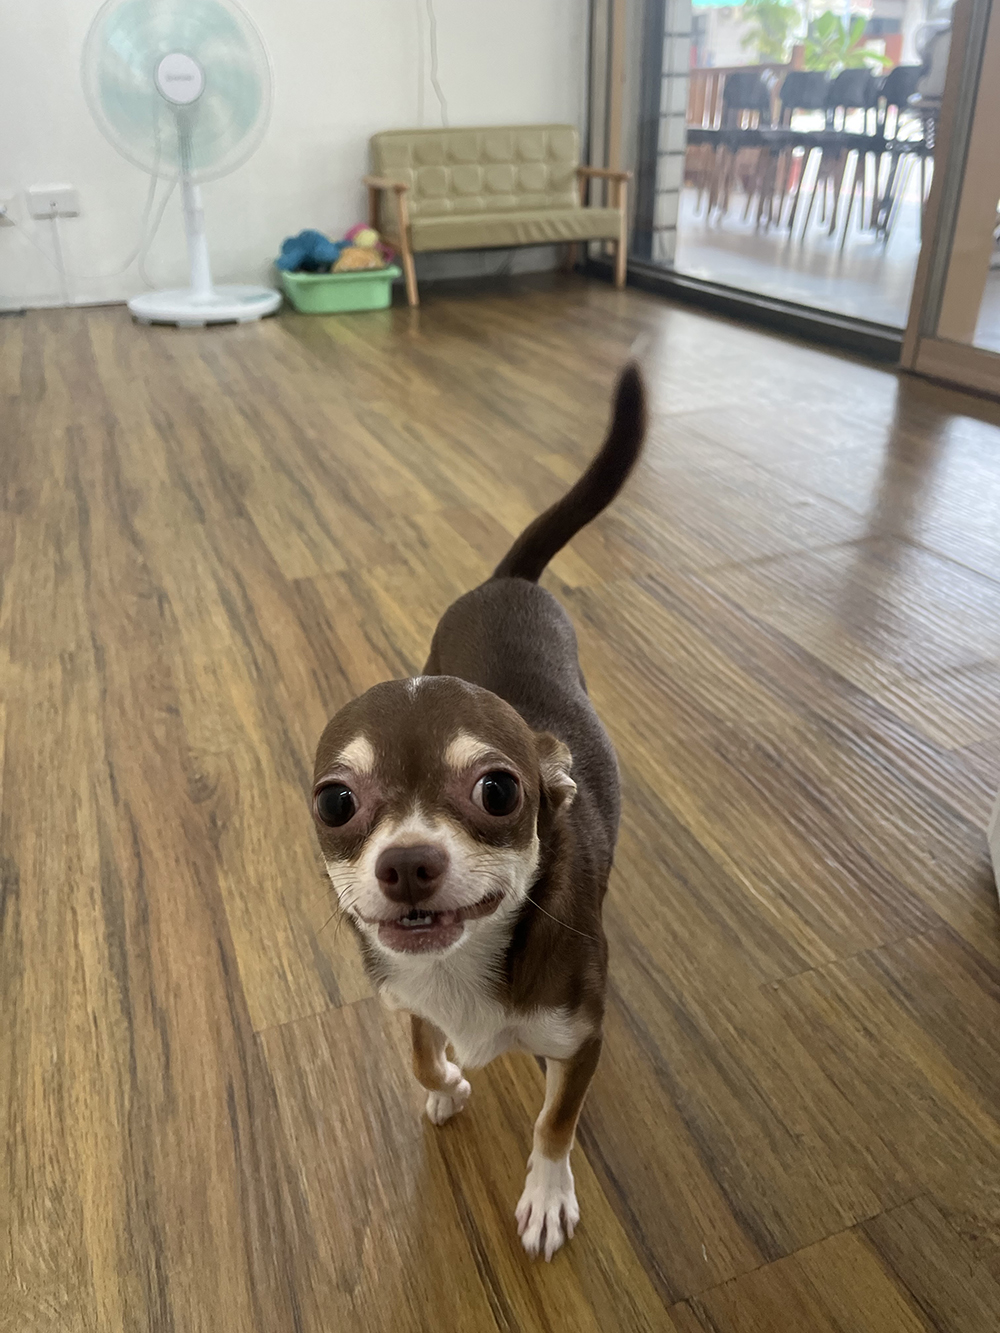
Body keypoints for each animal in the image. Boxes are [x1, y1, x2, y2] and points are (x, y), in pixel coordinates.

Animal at [312, 363, 647, 1260]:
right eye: (334, 801)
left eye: (499, 791)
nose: (406, 862)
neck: (461, 965)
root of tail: (511, 580)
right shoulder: (404, 997)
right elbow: (423, 1053)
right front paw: (446, 1084)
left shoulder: (582, 1039)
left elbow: (554, 1122)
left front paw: (547, 1195)